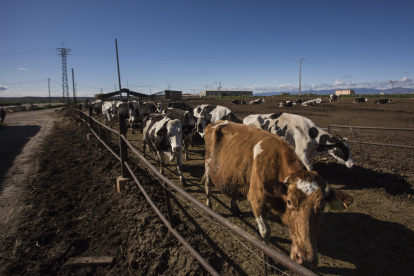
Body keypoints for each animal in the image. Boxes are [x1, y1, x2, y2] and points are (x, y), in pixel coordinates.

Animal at [204, 121, 352, 270]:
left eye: (322, 207)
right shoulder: (257, 203)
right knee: (208, 187)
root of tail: (216, 123)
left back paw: (235, 208)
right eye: (290, 202)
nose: (305, 258)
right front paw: (268, 260)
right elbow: (265, 232)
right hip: (208, 166)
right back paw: (208, 208)